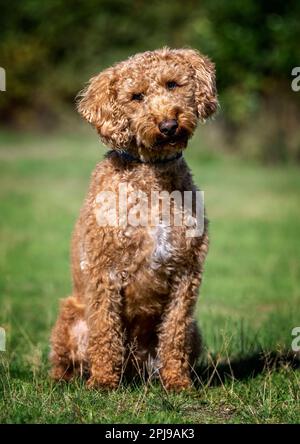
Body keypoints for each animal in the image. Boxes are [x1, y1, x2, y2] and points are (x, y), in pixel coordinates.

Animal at [49, 46, 218, 390]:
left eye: (172, 84)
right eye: (136, 96)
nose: (168, 125)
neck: (152, 175)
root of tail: (135, 369)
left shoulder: (186, 271)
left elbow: (174, 333)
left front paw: (177, 382)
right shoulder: (104, 270)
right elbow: (104, 330)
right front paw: (102, 382)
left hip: (194, 331)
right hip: (70, 317)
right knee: (66, 360)